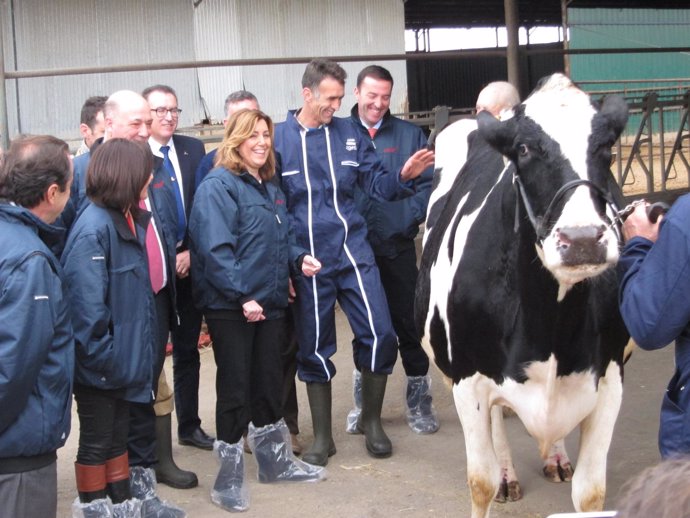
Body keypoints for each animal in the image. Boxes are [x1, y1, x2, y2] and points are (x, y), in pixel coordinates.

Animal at [414, 74, 628, 518]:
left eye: (604, 147)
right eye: (524, 150)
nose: (582, 240)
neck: (550, 323)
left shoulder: (609, 380)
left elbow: (591, 492)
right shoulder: (468, 381)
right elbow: (480, 483)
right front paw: (498, 479)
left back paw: (557, 457)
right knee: (497, 425)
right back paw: (508, 476)